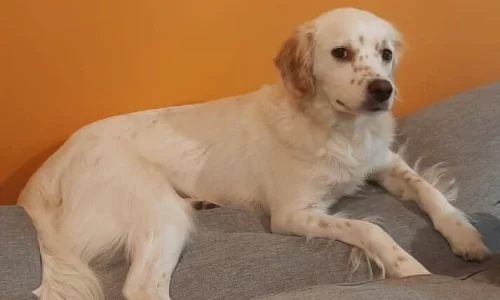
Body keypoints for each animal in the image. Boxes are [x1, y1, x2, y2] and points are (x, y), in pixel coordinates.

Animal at [18, 7, 488, 300]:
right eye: (341, 53)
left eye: (386, 54)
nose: (382, 90)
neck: (338, 130)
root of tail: (47, 170)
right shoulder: (292, 214)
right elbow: (370, 228)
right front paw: (409, 267)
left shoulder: (384, 162)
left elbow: (428, 190)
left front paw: (464, 234)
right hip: (160, 212)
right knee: (142, 288)